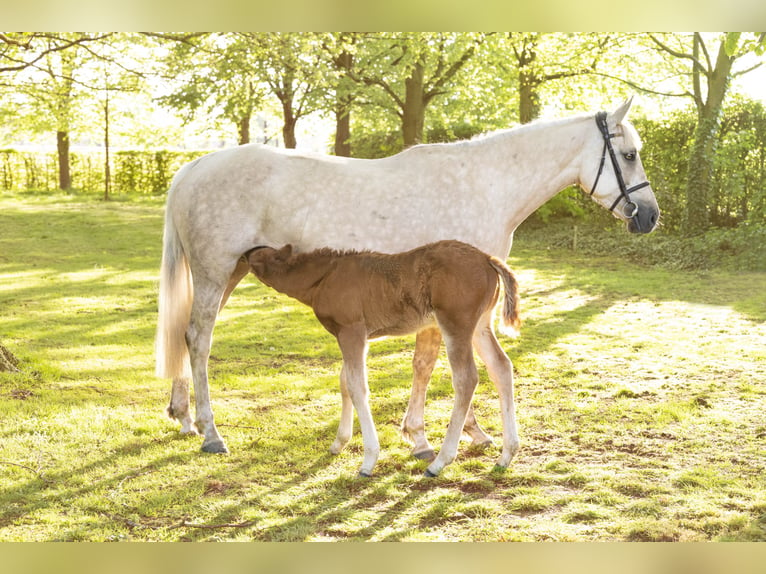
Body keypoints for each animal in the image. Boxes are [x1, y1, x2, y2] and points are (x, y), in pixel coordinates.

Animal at [154, 98, 660, 464]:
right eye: (630, 155)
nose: (650, 217)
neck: (483, 185)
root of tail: (193, 168)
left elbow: (431, 364)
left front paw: (448, 434)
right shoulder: (444, 308)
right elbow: (432, 364)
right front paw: (427, 437)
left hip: (230, 272)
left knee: (186, 335)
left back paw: (184, 417)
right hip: (216, 271)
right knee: (199, 339)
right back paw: (211, 432)